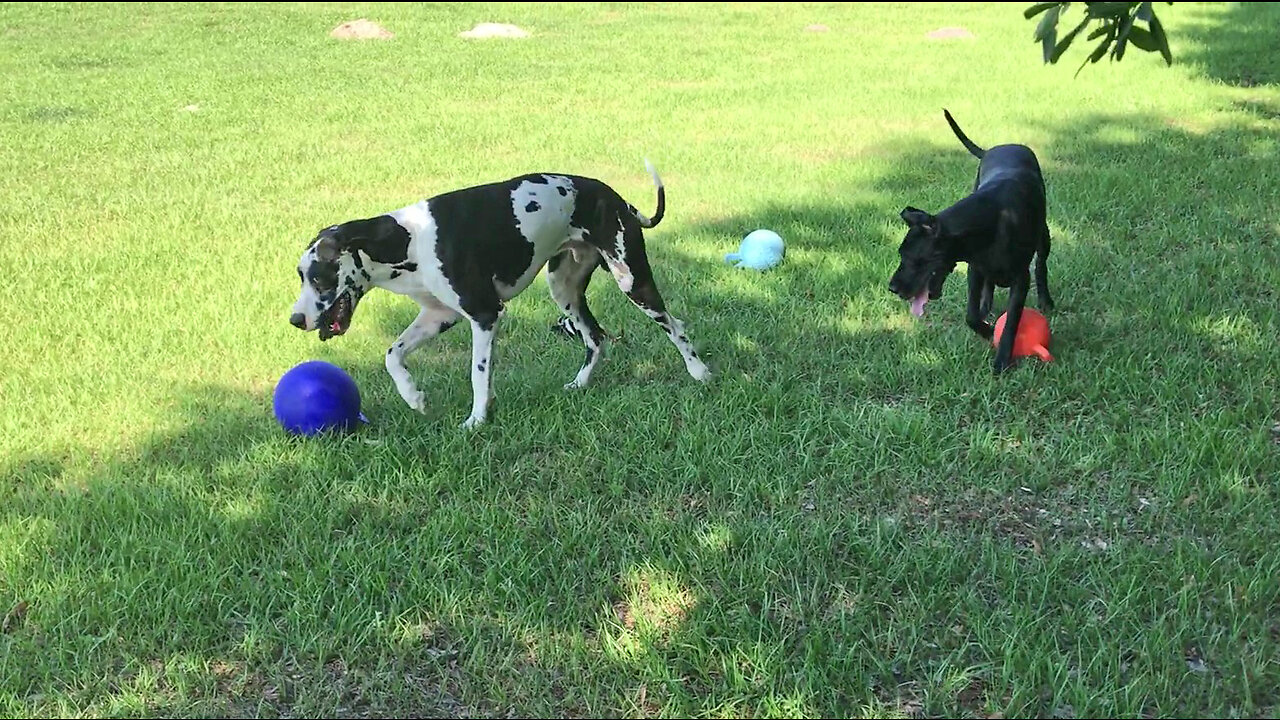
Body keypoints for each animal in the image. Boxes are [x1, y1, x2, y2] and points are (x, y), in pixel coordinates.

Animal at [288, 161, 711, 425]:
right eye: (300, 276)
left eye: (319, 277)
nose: (295, 319)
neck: (407, 240)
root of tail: (619, 200)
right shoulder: (438, 317)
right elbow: (393, 356)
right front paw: (414, 397)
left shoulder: (485, 315)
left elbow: (478, 375)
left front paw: (476, 420)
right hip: (564, 291)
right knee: (596, 338)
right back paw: (580, 384)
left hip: (632, 281)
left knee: (675, 325)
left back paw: (699, 372)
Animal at [885, 109, 1054, 371]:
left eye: (915, 259)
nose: (893, 288)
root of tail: (995, 148)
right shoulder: (975, 269)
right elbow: (971, 315)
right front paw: (987, 330)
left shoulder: (1020, 279)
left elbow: (1012, 321)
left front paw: (1002, 361)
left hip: (1043, 235)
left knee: (1042, 265)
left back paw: (1046, 300)